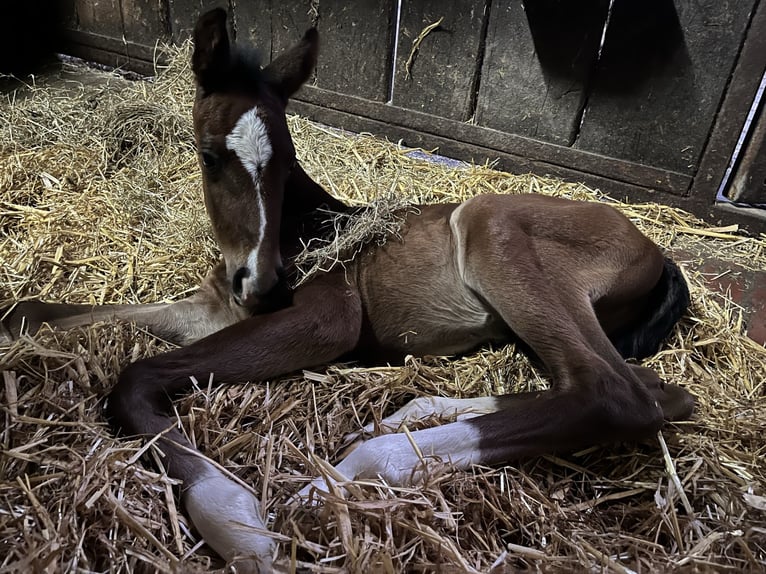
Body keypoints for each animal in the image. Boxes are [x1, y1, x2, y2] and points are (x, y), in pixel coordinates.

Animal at [0, 8, 695, 573]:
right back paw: (408, 417)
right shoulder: (214, 309)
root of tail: (657, 249)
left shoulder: (320, 321)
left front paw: (237, 521)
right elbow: (38, 313)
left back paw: (353, 469)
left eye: (285, 159)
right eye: (209, 156)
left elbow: (136, 376)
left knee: (617, 394)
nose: (262, 282)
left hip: (491, 224)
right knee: (651, 389)